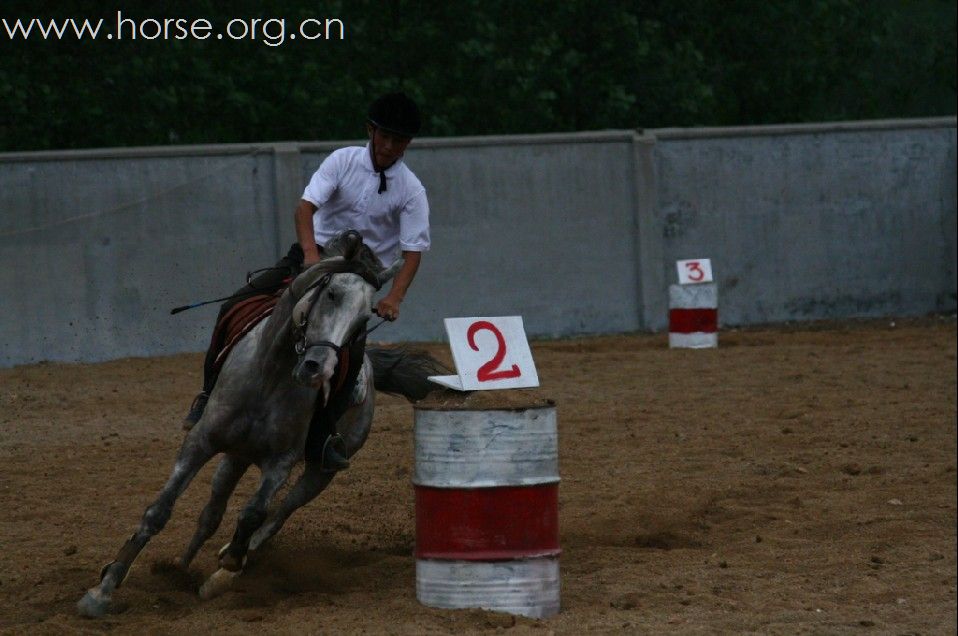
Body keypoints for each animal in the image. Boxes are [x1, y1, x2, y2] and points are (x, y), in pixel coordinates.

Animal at [78, 231, 446, 620]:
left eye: (363, 318)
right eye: (331, 293)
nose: (318, 368)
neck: (270, 374)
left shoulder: (280, 463)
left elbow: (253, 513)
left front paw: (225, 571)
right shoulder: (200, 442)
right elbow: (159, 512)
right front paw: (103, 589)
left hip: (321, 471)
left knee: (280, 512)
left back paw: (230, 561)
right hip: (234, 457)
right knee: (211, 514)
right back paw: (179, 568)